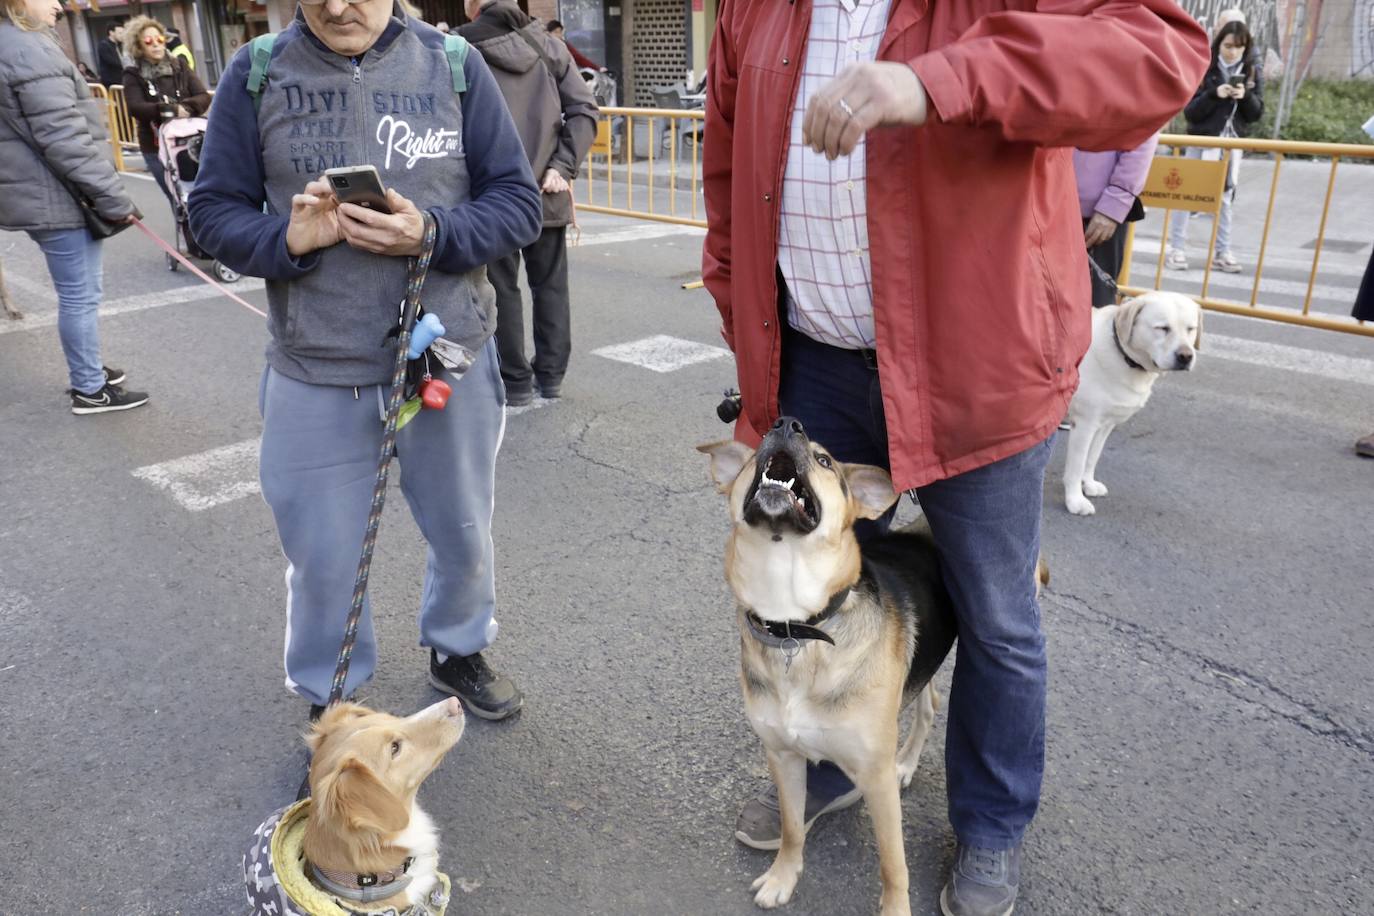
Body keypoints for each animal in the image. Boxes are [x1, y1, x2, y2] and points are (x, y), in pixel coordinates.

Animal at [697, 417, 956, 916]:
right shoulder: (782, 755)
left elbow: (893, 864)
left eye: (824, 461)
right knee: (930, 701)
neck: (796, 629)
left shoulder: (876, 778)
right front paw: (783, 877)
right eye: (758, 444)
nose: (786, 424)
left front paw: (895, 909)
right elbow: (793, 827)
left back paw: (907, 763)